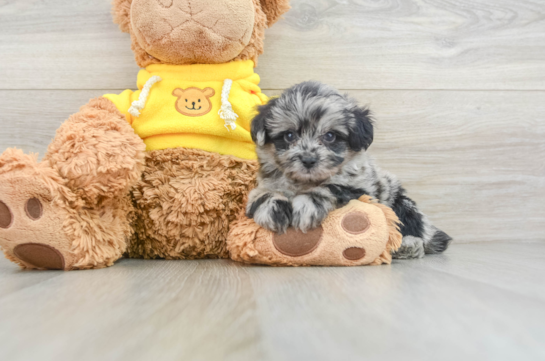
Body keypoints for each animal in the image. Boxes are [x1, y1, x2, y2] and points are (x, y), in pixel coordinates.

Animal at [246, 81, 450, 258]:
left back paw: (407, 245)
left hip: (402, 204)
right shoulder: (265, 183)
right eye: (289, 135)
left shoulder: (360, 188)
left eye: (330, 136)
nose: (308, 160)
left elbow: (329, 188)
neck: (305, 182)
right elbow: (263, 194)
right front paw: (273, 208)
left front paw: (307, 205)